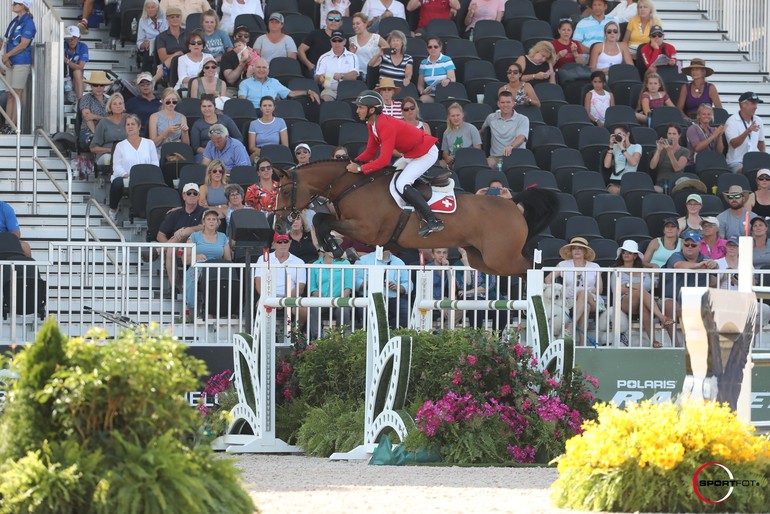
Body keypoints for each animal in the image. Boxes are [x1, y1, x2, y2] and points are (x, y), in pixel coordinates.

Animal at [274, 160, 560, 276]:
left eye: (285, 191)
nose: (279, 224)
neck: (352, 185)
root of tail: (512, 204)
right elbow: (321, 222)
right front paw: (339, 250)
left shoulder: (367, 230)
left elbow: (324, 222)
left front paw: (339, 251)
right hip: (485, 261)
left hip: (502, 258)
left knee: (534, 270)